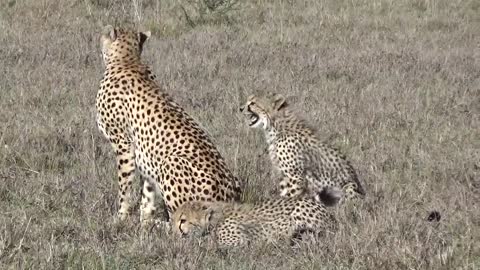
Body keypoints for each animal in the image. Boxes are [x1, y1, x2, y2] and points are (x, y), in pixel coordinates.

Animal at [96, 26, 242, 227]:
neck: (128, 59)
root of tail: (228, 199)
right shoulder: (146, 156)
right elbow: (147, 194)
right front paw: (143, 221)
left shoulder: (123, 145)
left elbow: (124, 186)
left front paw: (121, 218)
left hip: (170, 162)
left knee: (180, 222)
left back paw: (159, 224)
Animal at [238, 94, 366, 204]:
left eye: (253, 103)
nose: (240, 108)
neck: (275, 126)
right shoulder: (285, 176)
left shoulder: (295, 176)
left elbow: (290, 197)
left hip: (349, 186)